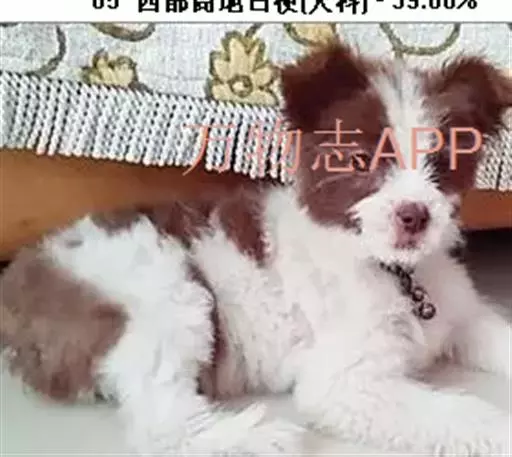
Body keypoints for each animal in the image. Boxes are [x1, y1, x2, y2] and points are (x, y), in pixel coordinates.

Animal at [1, 42, 511, 456]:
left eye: (441, 163)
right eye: (361, 160)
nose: (414, 214)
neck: (395, 271)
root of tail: (25, 276)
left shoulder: (463, 315)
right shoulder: (343, 382)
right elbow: (459, 413)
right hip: (167, 294)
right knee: (163, 425)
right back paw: (258, 437)